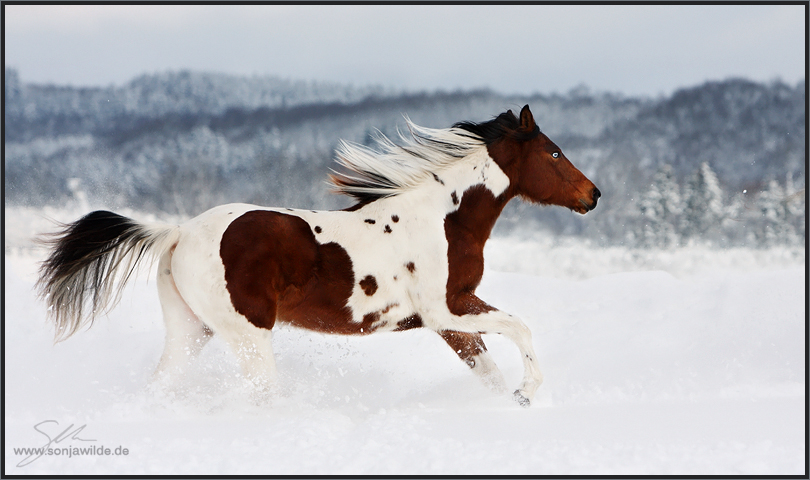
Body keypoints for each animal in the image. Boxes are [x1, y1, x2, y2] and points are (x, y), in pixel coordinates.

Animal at [38, 105, 596, 404]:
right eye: (553, 152)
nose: (593, 195)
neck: (444, 219)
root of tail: (178, 233)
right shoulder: (447, 309)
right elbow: (520, 328)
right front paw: (528, 391)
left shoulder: (446, 321)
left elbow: (487, 371)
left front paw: (513, 401)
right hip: (248, 336)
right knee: (261, 394)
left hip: (190, 331)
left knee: (163, 384)